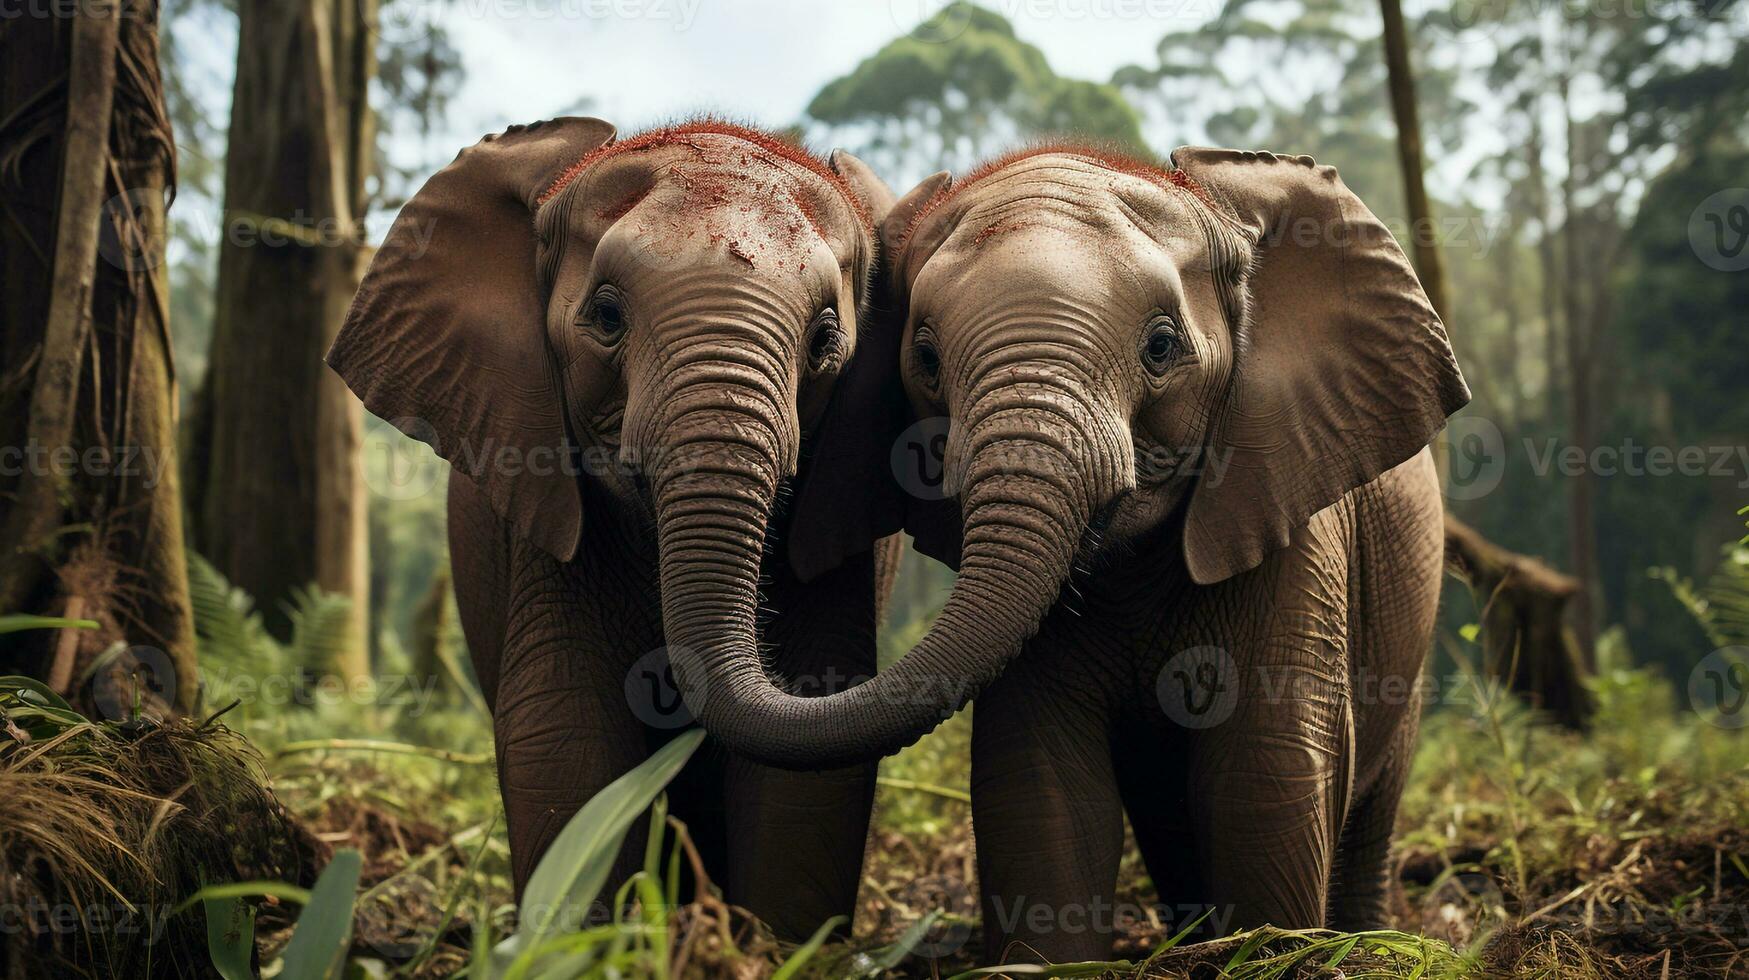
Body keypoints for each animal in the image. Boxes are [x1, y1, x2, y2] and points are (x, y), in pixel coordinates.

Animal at [661, 147, 1469, 966]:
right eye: (925, 358)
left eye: (1161, 348)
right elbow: (1036, 775)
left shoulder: (1289, 511)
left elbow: (1266, 765)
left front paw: (1274, 952)